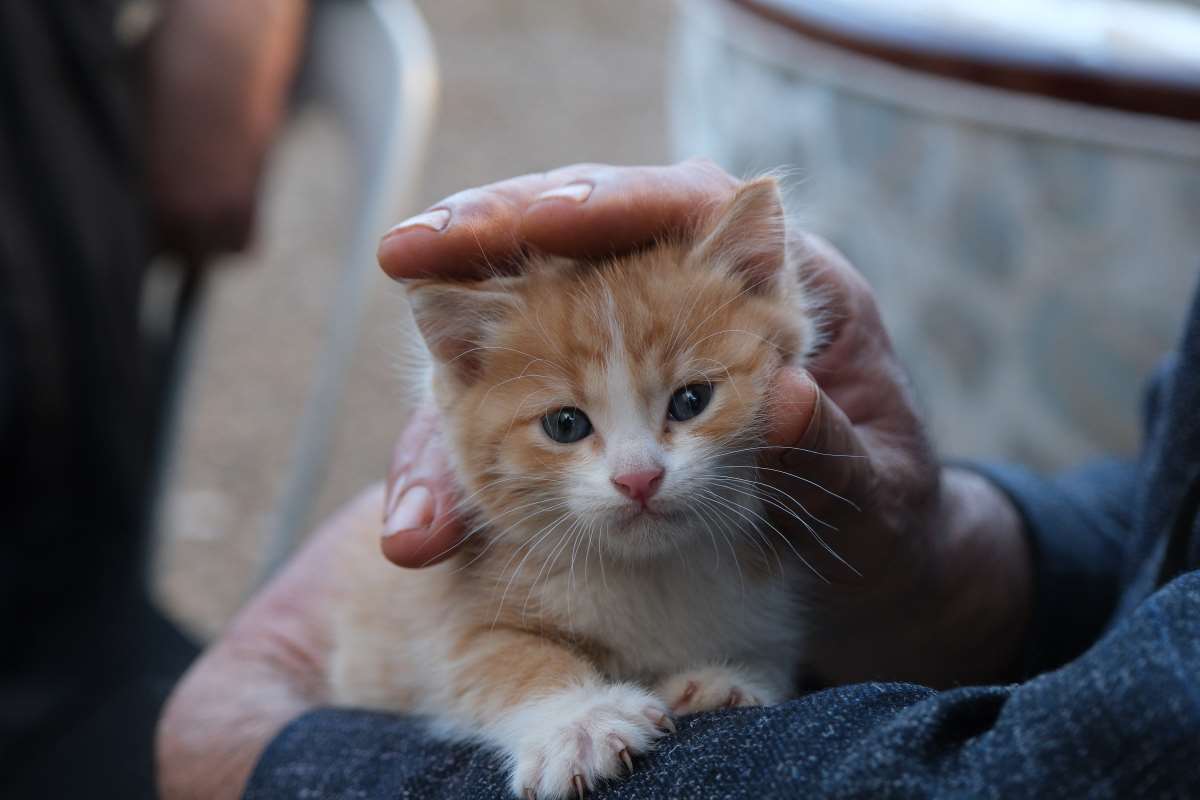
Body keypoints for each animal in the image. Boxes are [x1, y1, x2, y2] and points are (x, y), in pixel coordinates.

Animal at [333, 176, 830, 800]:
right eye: (565, 425)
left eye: (692, 400)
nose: (638, 478)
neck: (651, 575)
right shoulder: (444, 614)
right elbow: (498, 656)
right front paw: (579, 722)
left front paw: (726, 680)